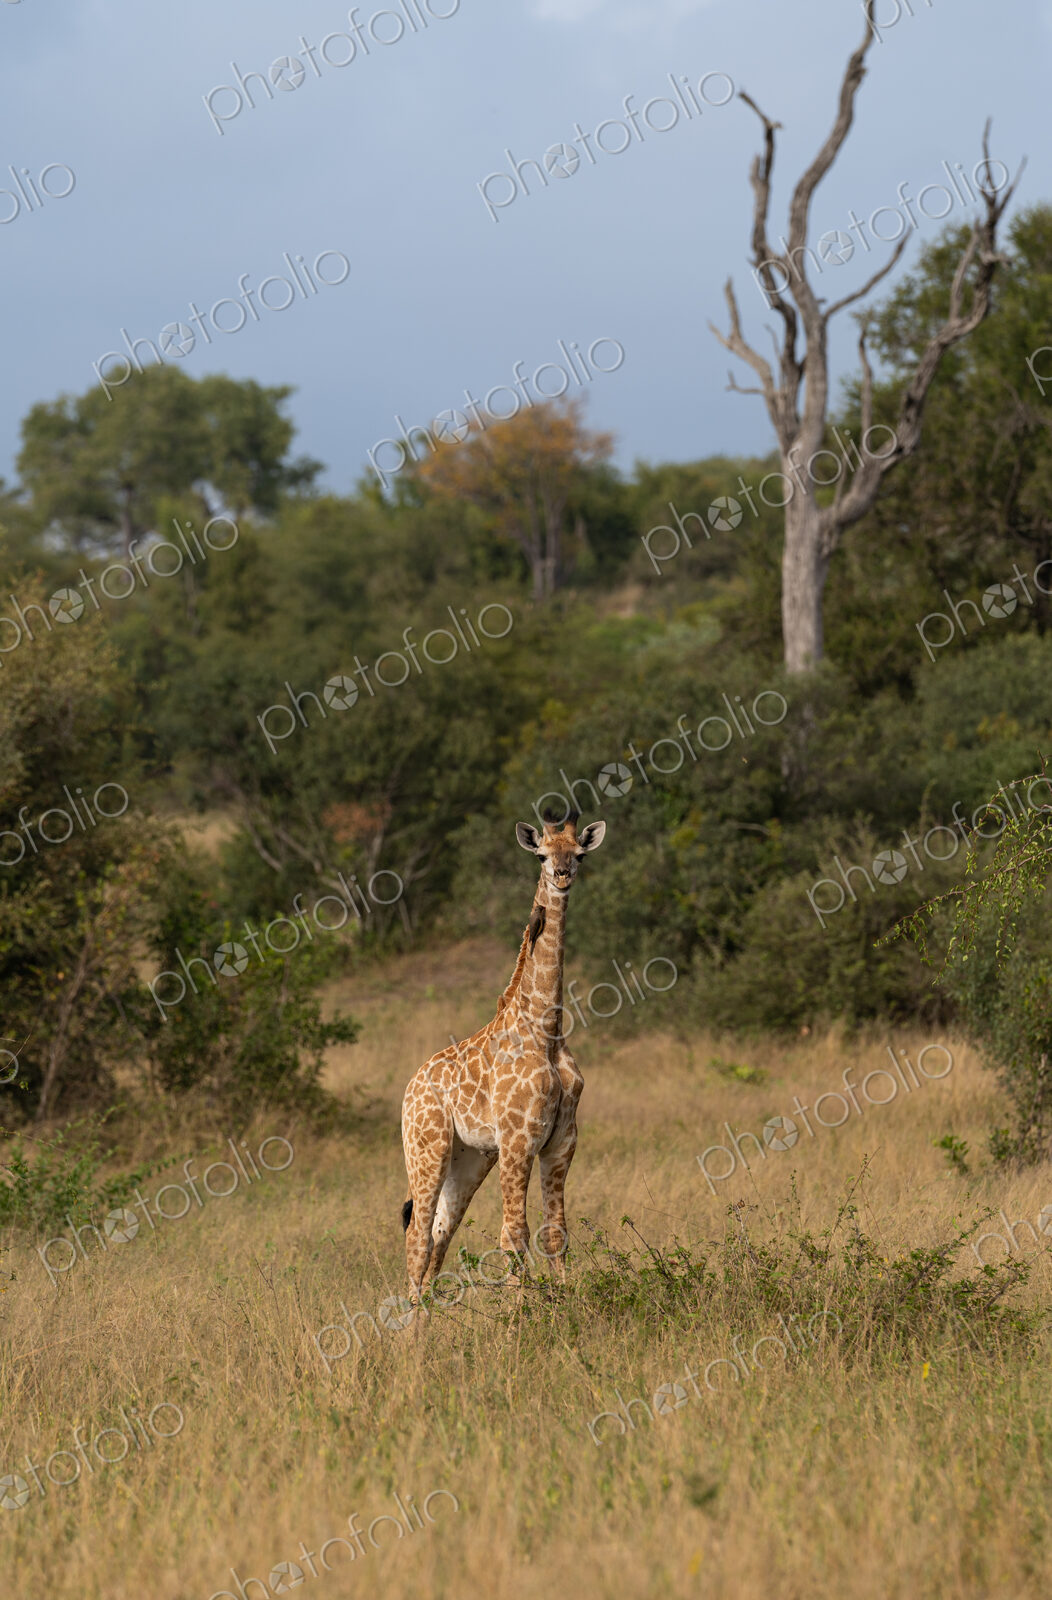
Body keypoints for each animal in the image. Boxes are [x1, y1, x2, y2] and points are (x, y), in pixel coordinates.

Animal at [400, 810, 606, 1302]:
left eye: (579, 853)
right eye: (543, 854)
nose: (562, 875)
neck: (545, 1028)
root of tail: (409, 1088)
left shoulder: (561, 1141)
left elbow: (555, 1233)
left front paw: (560, 1306)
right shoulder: (517, 1140)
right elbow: (514, 1233)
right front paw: (520, 1316)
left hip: (469, 1159)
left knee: (439, 1236)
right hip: (426, 1148)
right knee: (417, 1236)